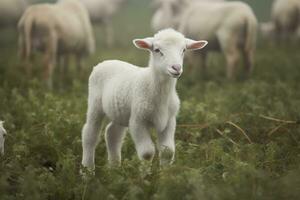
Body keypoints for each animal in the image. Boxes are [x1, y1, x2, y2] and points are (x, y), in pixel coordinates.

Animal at [81, 28, 209, 170]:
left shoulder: (169, 121)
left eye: (184, 50)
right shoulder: (137, 121)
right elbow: (147, 153)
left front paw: (165, 174)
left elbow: (168, 152)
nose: (176, 68)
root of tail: (106, 61)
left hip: (121, 112)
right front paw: (145, 174)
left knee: (112, 134)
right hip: (95, 103)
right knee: (89, 134)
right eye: (157, 50)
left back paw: (115, 168)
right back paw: (87, 169)